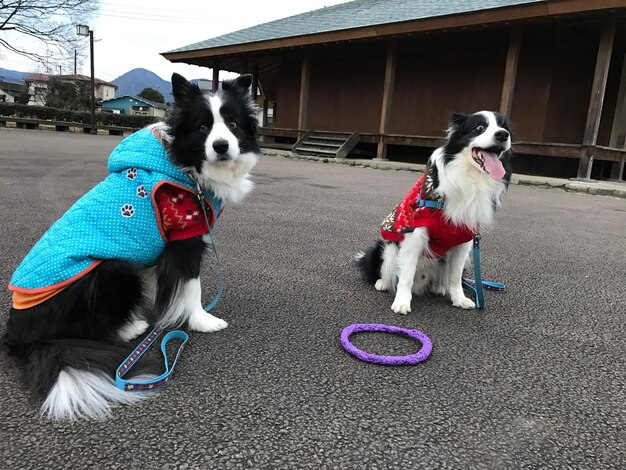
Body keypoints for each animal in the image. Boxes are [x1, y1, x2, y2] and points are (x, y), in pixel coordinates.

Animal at [4, 72, 258, 418]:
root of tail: (17, 333)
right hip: (111, 272)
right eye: (203, 127)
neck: (185, 166)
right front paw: (201, 320)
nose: (221, 146)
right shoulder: (184, 240)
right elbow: (191, 286)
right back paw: (130, 328)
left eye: (232, 123)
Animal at [356, 112, 512, 314]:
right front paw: (402, 302)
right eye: (479, 128)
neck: (470, 177)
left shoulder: (465, 238)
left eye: (505, 127)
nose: (503, 135)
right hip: (387, 248)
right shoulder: (416, 232)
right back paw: (382, 283)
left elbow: (455, 276)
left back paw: (439, 287)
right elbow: (406, 274)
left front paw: (459, 298)